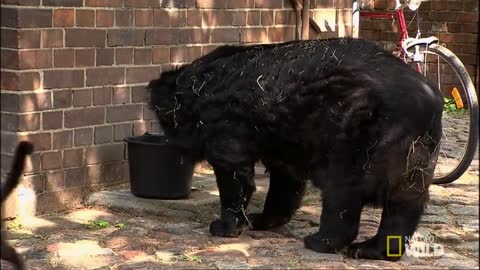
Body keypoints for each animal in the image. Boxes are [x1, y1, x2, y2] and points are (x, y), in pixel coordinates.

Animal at [149, 38, 442, 260]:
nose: (170, 145)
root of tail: (427, 102)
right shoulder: (284, 139)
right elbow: (285, 183)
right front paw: (261, 219)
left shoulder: (226, 124)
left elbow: (234, 174)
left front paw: (224, 226)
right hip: (415, 157)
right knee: (403, 207)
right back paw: (373, 249)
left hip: (356, 141)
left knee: (342, 195)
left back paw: (321, 241)